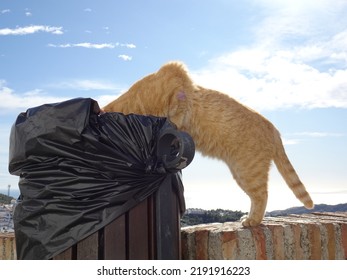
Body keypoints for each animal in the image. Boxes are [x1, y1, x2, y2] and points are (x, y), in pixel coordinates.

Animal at [104, 61, 316, 225]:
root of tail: (273, 128)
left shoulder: (176, 78)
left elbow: (177, 111)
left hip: (248, 172)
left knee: (262, 195)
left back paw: (252, 221)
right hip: (241, 173)